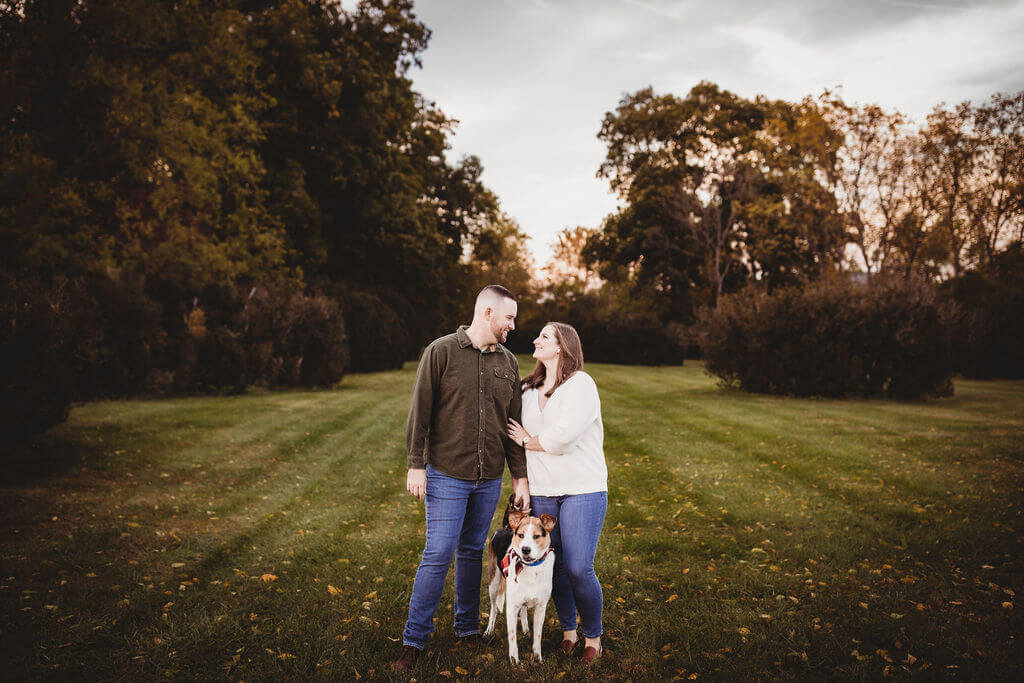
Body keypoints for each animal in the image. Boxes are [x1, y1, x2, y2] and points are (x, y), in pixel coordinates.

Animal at [483, 501, 557, 667]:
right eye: (521, 535)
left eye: (536, 536)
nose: (525, 550)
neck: (531, 568)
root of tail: (505, 528)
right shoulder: (511, 608)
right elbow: (512, 638)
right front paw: (514, 660)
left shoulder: (541, 608)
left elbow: (537, 637)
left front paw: (537, 658)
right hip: (493, 583)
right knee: (493, 609)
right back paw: (489, 630)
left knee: (523, 610)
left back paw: (525, 629)